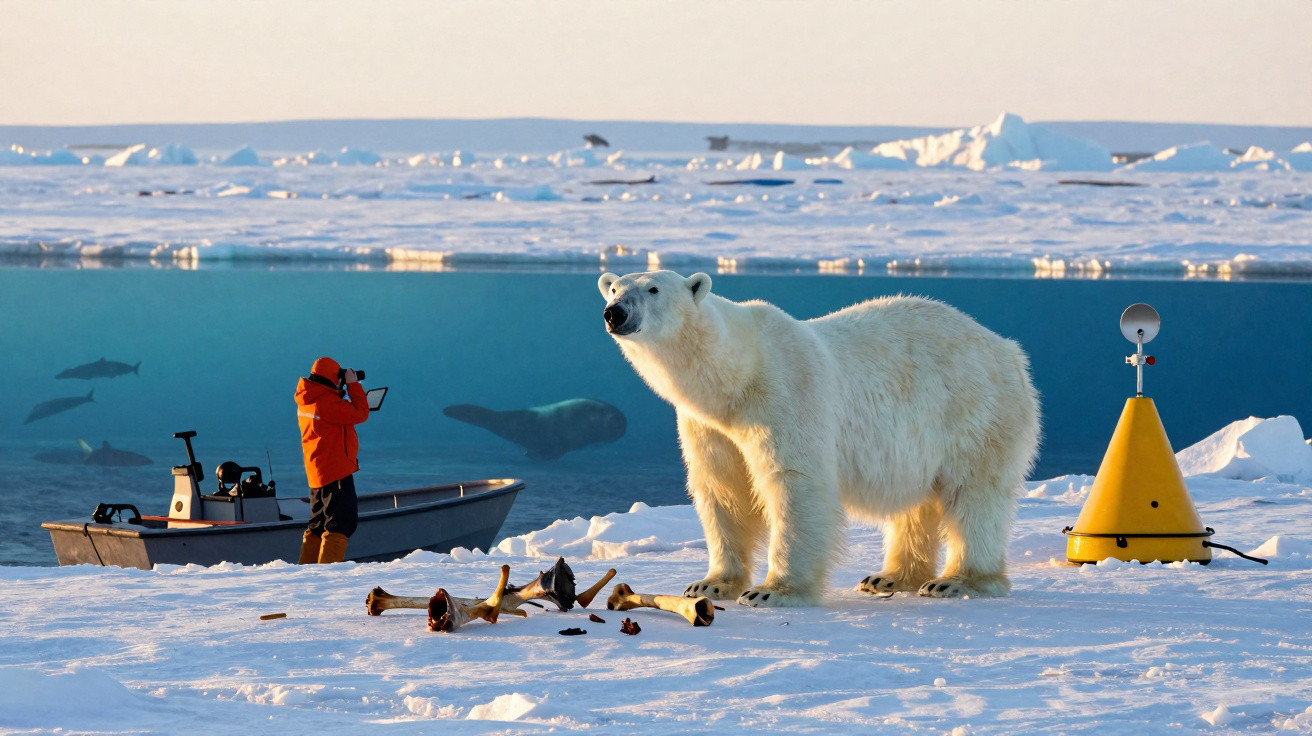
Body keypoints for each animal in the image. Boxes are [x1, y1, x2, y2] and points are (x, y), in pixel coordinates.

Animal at [598, 270, 1040, 608]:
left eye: (653, 289)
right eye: (615, 287)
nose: (614, 313)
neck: (736, 376)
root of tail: (1008, 349)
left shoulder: (786, 395)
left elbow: (793, 484)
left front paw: (772, 592)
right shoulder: (709, 426)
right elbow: (723, 488)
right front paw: (710, 584)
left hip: (973, 411)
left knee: (974, 495)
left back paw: (959, 581)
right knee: (917, 504)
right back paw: (890, 577)